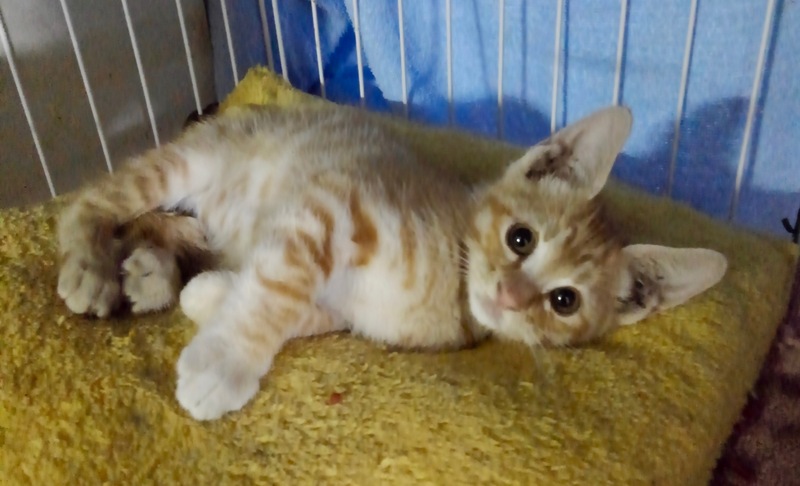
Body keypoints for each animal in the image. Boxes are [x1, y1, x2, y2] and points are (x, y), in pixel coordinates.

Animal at [57, 104, 727, 420]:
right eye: (520, 238)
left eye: (564, 301)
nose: (509, 296)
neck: (448, 284)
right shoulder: (332, 205)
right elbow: (279, 288)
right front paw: (224, 361)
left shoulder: (349, 313)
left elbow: (291, 303)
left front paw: (212, 298)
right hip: (187, 164)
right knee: (94, 198)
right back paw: (92, 265)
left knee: (168, 223)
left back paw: (155, 270)